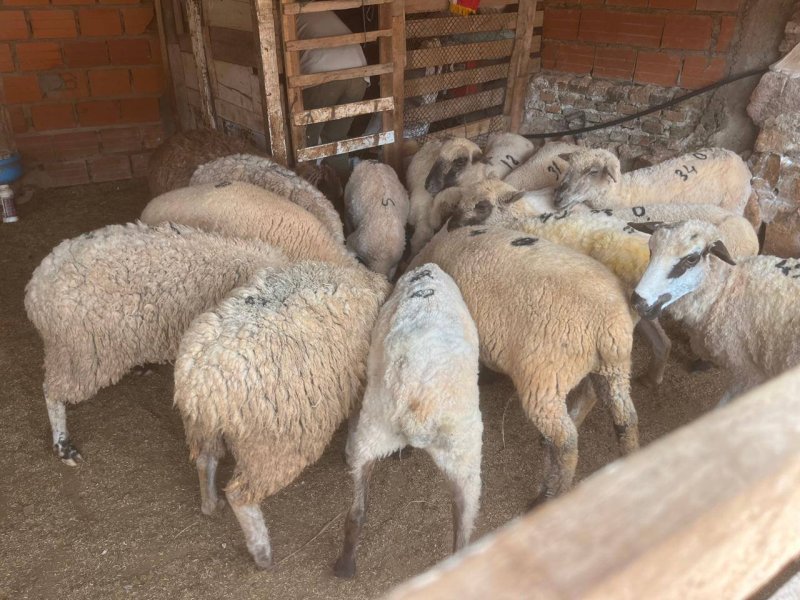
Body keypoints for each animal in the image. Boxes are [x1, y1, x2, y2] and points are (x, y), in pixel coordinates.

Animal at [174, 261, 390, 569]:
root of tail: (201, 386)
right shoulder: (361, 383)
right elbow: (356, 427)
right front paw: (351, 454)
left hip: (203, 429)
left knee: (206, 461)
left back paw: (211, 504)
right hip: (270, 449)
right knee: (240, 496)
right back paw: (262, 552)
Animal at [334, 263, 482, 578]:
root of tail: (418, 406)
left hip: (373, 433)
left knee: (356, 511)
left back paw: (345, 566)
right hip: (462, 451)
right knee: (463, 525)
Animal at [408, 224, 638, 500]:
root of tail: (607, 325)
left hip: (544, 380)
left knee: (566, 442)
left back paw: (550, 493)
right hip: (614, 368)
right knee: (625, 416)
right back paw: (632, 458)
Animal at [552, 147, 752, 215]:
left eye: (593, 171)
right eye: (569, 167)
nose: (557, 198)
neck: (624, 192)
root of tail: (739, 159)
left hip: (734, 204)